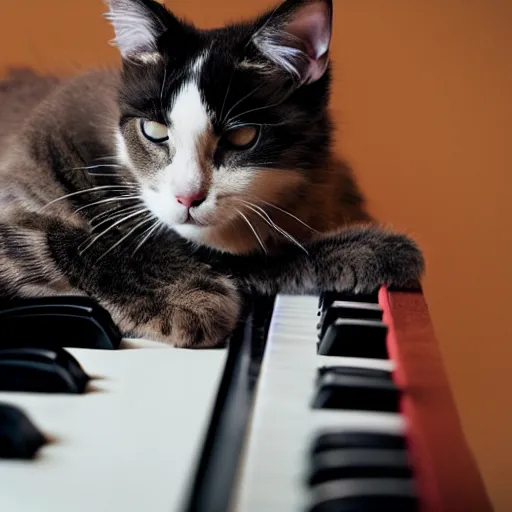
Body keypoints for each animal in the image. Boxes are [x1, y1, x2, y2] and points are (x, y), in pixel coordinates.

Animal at [0, 0, 424, 348]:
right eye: (154, 131)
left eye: (242, 137)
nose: (187, 197)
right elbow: (85, 240)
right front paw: (188, 300)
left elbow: (254, 255)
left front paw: (366, 250)